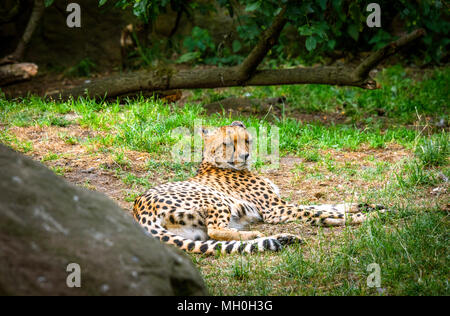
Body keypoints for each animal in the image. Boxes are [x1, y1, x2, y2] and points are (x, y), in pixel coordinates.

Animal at [132, 119, 384, 256]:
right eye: (228, 144)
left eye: (247, 141)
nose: (245, 155)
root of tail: (138, 209)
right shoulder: (274, 209)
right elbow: (316, 211)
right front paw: (367, 216)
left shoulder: (281, 205)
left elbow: (327, 206)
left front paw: (369, 207)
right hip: (215, 198)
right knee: (216, 230)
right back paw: (253, 234)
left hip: (195, 231)